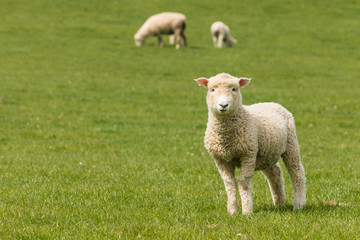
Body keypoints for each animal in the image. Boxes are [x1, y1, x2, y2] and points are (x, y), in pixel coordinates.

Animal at [195, 72, 306, 214]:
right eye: (212, 89)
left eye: (234, 89)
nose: (223, 105)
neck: (226, 138)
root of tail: (272, 103)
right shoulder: (220, 159)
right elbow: (229, 183)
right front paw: (232, 211)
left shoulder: (248, 155)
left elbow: (244, 182)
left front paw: (247, 211)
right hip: (266, 153)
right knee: (275, 171)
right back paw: (279, 201)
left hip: (291, 144)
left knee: (297, 172)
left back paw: (299, 204)